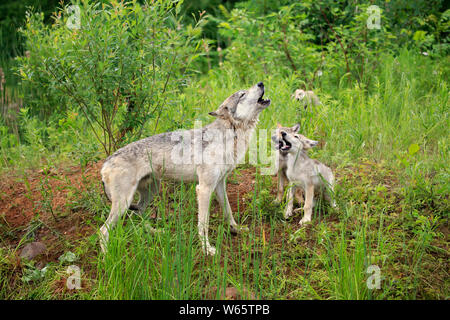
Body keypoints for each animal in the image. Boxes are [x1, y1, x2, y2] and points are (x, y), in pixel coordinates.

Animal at [100, 82, 268, 255]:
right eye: (242, 94)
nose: (261, 83)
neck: (229, 136)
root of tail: (106, 162)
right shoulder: (203, 189)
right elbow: (203, 224)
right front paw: (207, 249)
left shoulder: (219, 185)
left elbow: (228, 211)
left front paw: (236, 229)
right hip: (124, 202)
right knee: (104, 230)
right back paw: (107, 256)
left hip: (151, 191)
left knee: (137, 215)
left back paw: (156, 231)